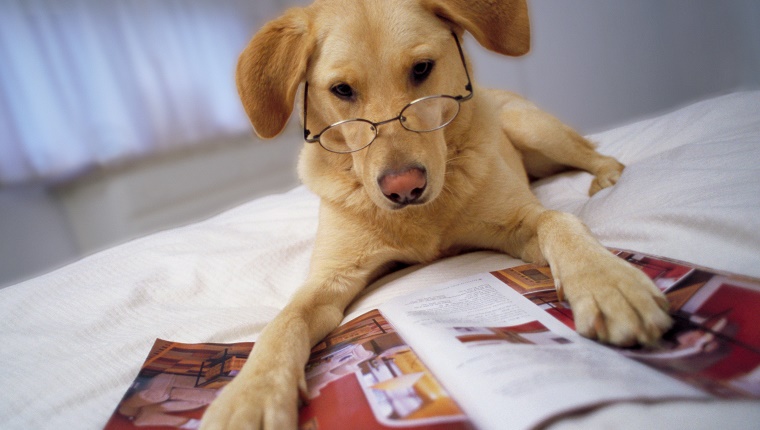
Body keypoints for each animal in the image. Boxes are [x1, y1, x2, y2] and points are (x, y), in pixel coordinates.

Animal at [200, 0, 672, 428]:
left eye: (422, 68)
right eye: (342, 90)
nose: (403, 187)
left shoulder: (521, 222)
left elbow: (558, 220)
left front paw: (607, 282)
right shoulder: (330, 278)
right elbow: (283, 323)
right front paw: (251, 394)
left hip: (532, 128)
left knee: (596, 153)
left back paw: (607, 177)